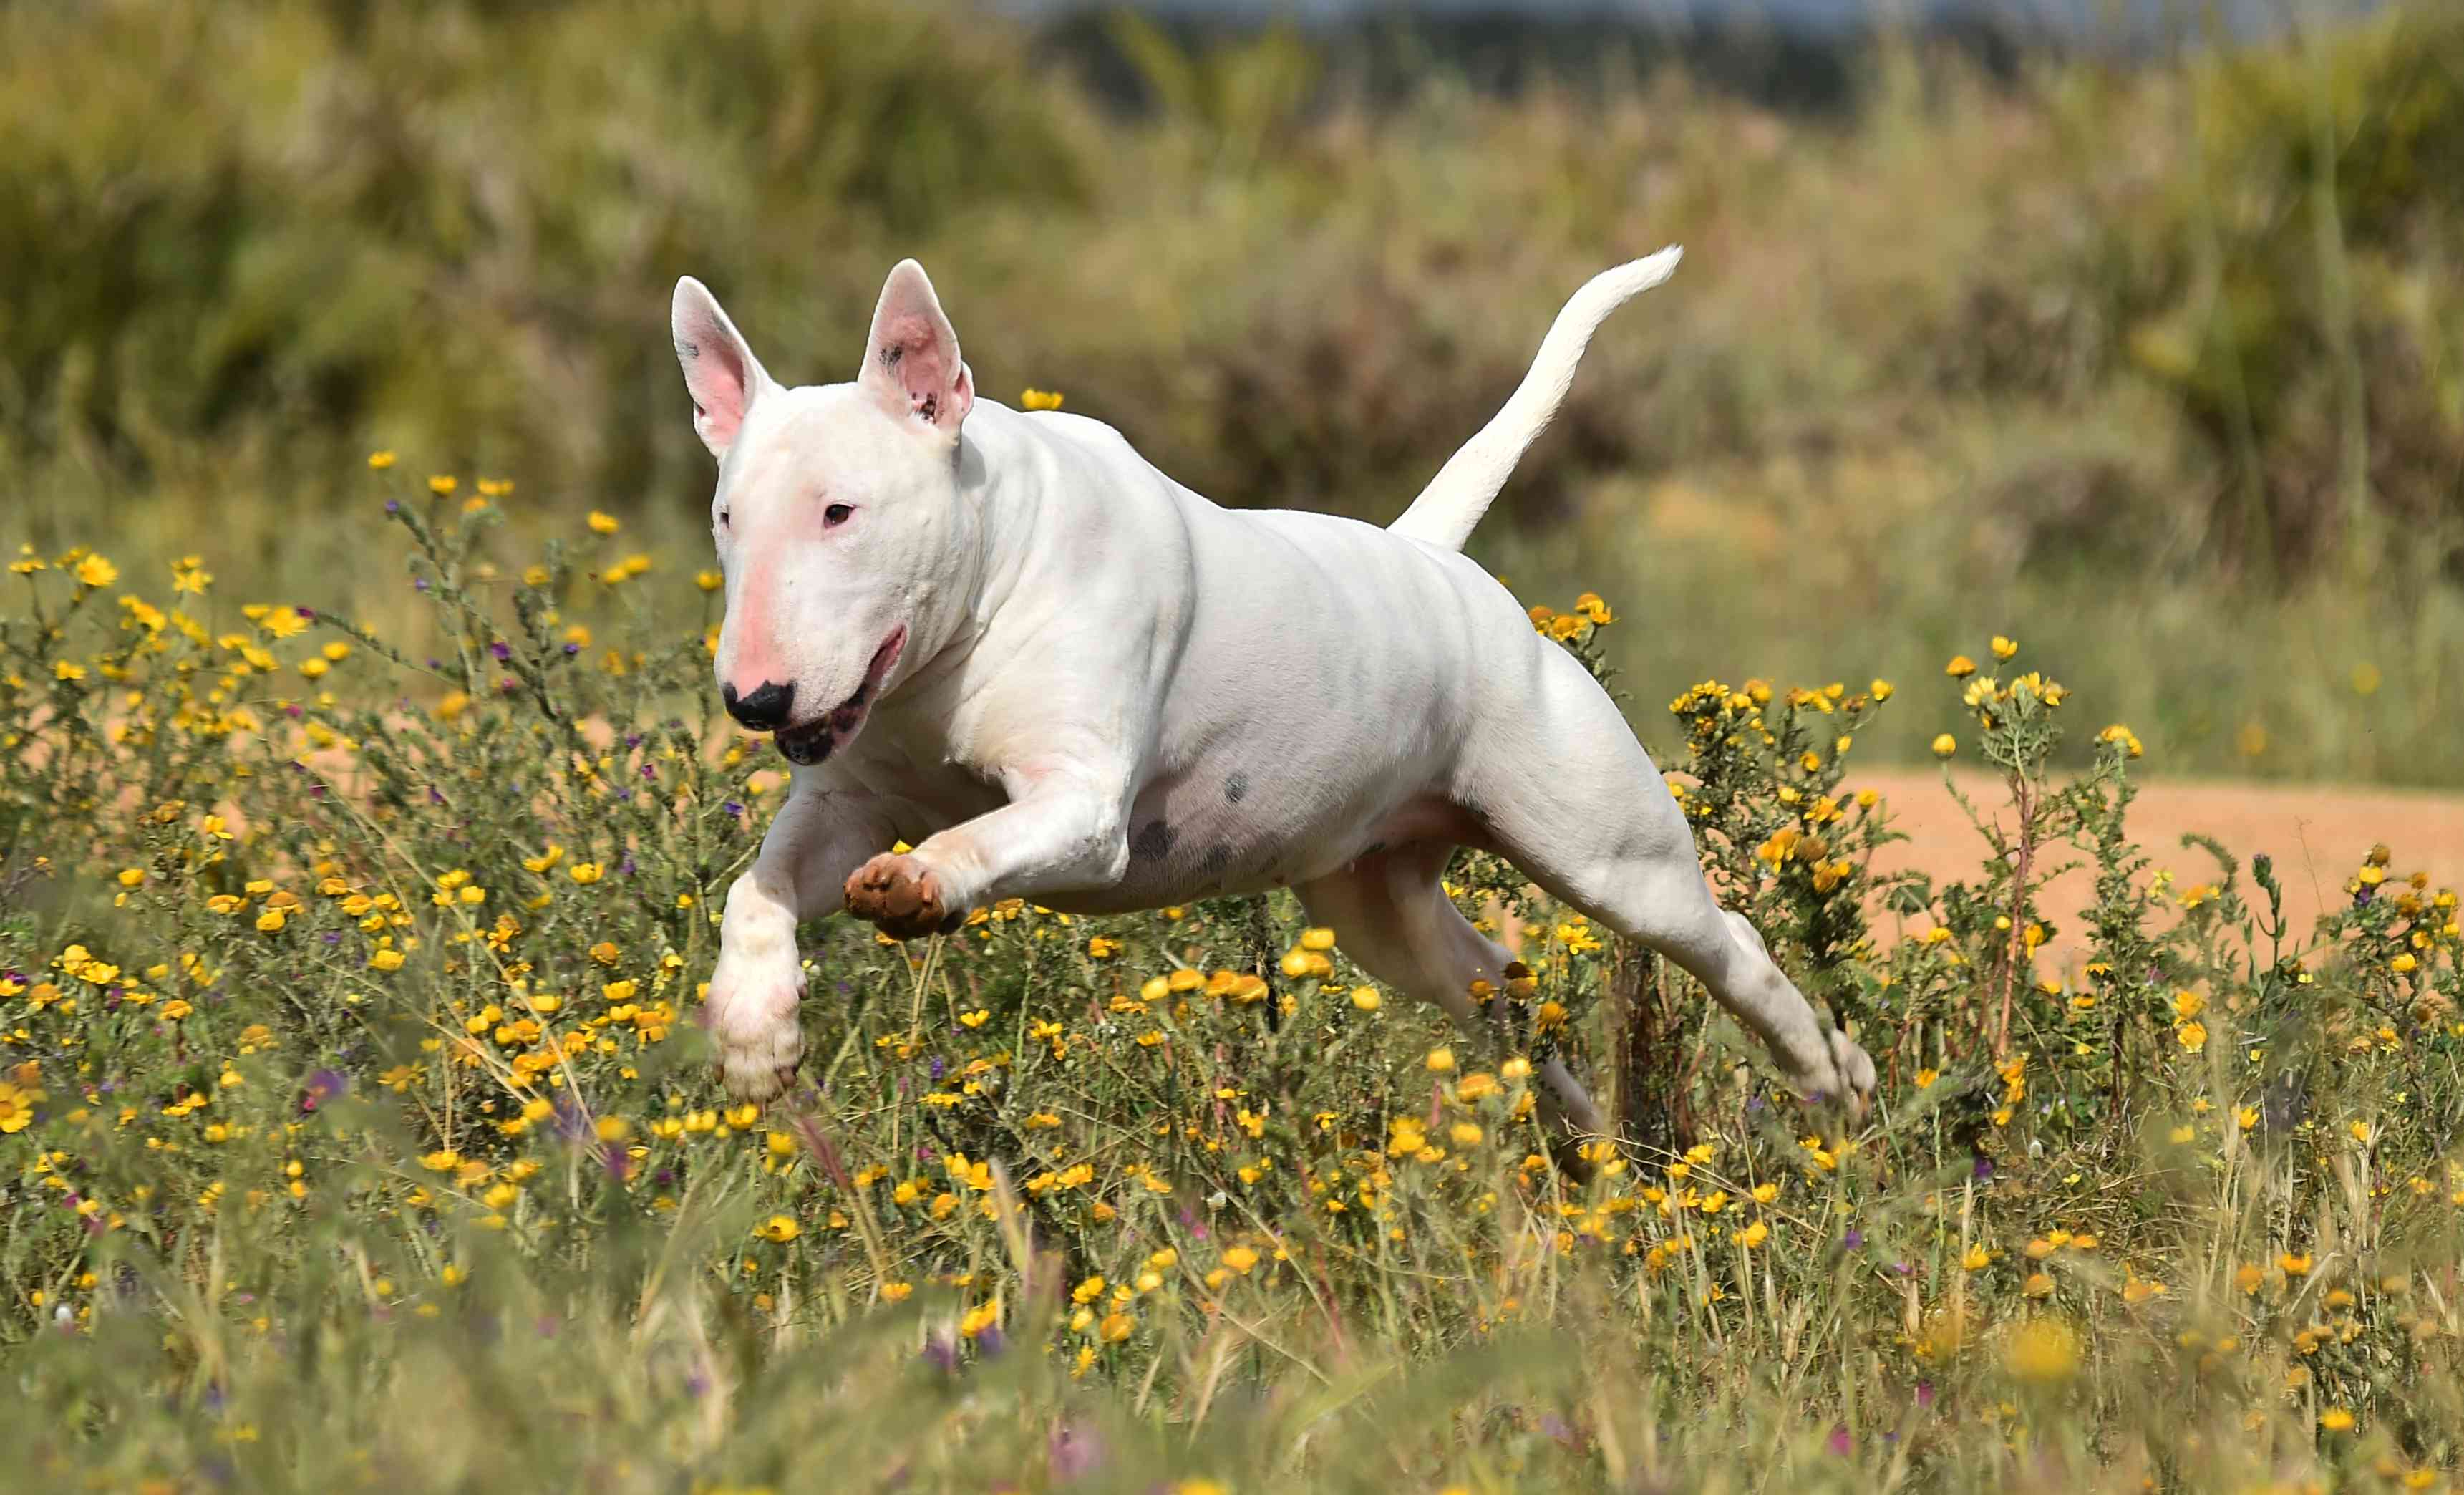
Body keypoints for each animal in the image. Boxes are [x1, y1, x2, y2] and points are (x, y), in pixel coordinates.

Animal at [675, 251, 1863, 1128]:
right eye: (727, 515)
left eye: (841, 511)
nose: (755, 702)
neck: (960, 621)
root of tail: (1428, 557)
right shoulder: (847, 798)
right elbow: (758, 889)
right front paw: (754, 1033)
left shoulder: (1083, 808)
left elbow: (976, 838)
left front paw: (918, 882)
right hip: (1380, 908)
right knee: (1495, 991)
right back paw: (1584, 1142)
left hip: (1607, 853)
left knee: (1724, 942)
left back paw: (1830, 1077)